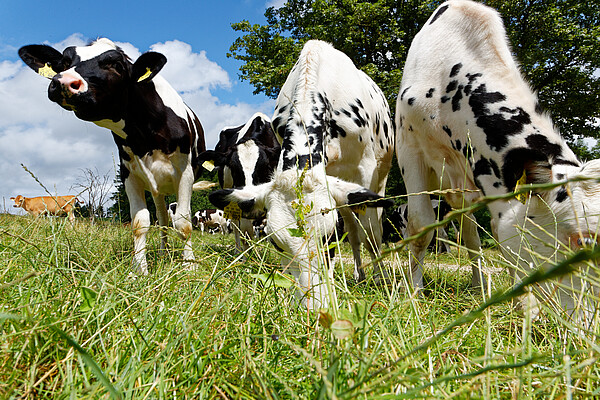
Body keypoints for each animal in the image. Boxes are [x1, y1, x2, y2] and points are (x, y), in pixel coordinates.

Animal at [18, 38, 213, 276]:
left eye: (117, 65)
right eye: (65, 62)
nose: (64, 81)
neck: (143, 136)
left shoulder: (184, 172)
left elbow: (183, 223)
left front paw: (190, 267)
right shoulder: (129, 173)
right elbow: (140, 222)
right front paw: (139, 271)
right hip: (157, 188)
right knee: (162, 218)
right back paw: (162, 253)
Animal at [197, 111, 282, 252]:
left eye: (265, 166)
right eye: (233, 168)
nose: (248, 201)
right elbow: (246, 232)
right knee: (236, 226)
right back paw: (238, 250)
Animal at [210, 40, 394, 310]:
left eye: (330, 238)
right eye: (276, 243)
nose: (312, 307)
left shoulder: (365, 168)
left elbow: (370, 230)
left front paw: (379, 280)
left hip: (379, 175)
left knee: (370, 228)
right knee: (352, 227)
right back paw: (359, 274)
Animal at [398, 0, 600, 320]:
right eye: (582, 241)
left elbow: (499, 232)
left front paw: (523, 304)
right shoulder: (409, 147)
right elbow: (420, 226)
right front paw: (413, 295)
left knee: (472, 234)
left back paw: (479, 285)